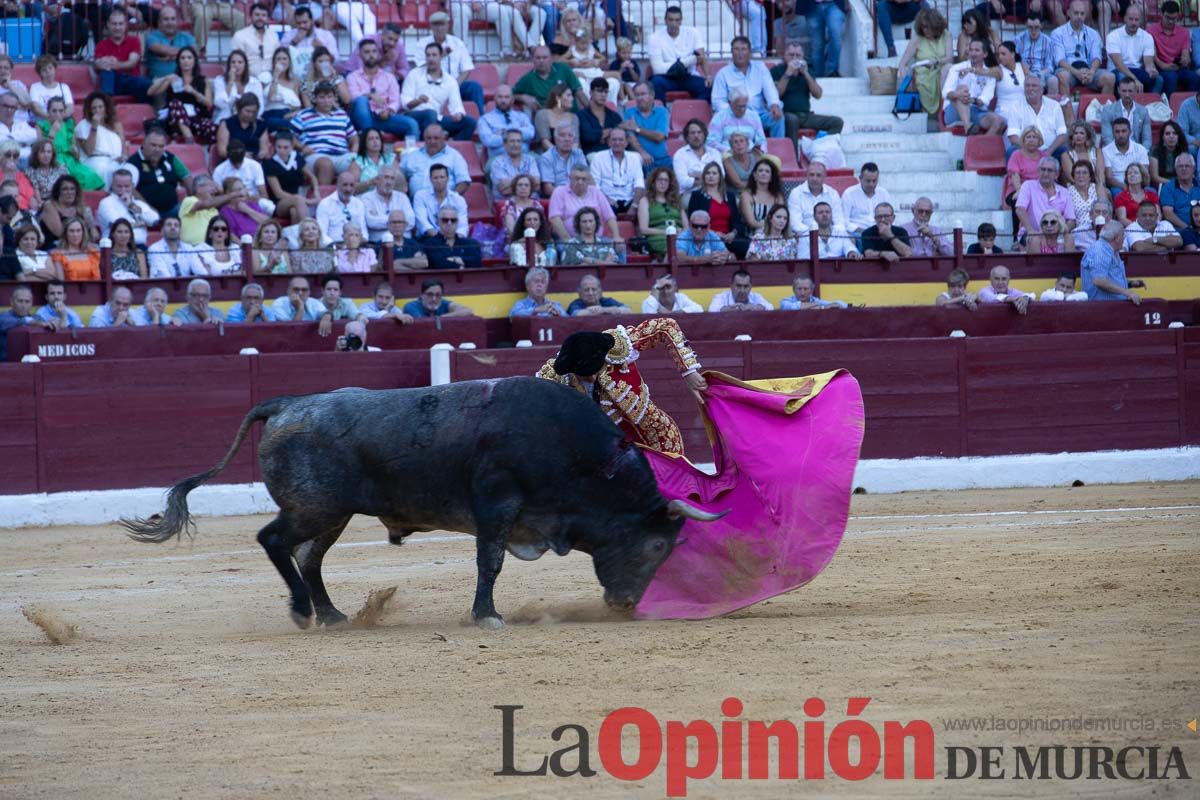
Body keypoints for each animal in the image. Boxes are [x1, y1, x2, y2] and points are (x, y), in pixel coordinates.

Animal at [121, 379, 720, 628]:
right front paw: (486, 615)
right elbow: (490, 562)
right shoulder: (496, 506)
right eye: (658, 545)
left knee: (309, 558)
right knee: (273, 541)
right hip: (315, 508)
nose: (625, 604)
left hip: (332, 515)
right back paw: (302, 612)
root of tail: (289, 403)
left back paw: (333, 614)